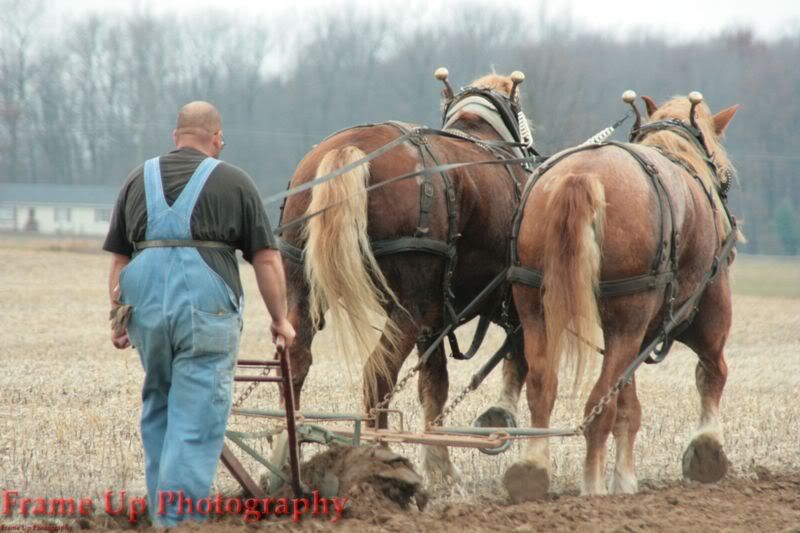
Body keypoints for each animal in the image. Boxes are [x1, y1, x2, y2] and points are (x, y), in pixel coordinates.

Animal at [278, 72, 536, 480]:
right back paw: (380, 455)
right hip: (407, 309)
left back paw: (287, 459)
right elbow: (519, 360)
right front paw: (502, 418)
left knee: (297, 362)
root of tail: (348, 150)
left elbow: (434, 385)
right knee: (377, 373)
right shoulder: (515, 297)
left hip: (303, 289)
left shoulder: (435, 320)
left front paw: (440, 465)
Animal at [504, 89, 740, 500]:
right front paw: (707, 449)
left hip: (535, 306)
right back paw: (592, 484)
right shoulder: (709, 306)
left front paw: (625, 477)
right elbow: (712, 373)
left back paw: (533, 467)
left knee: (543, 387)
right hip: (629, 319)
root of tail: (583, 175)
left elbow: (629, 404)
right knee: (600, 402)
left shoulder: (641, 334)